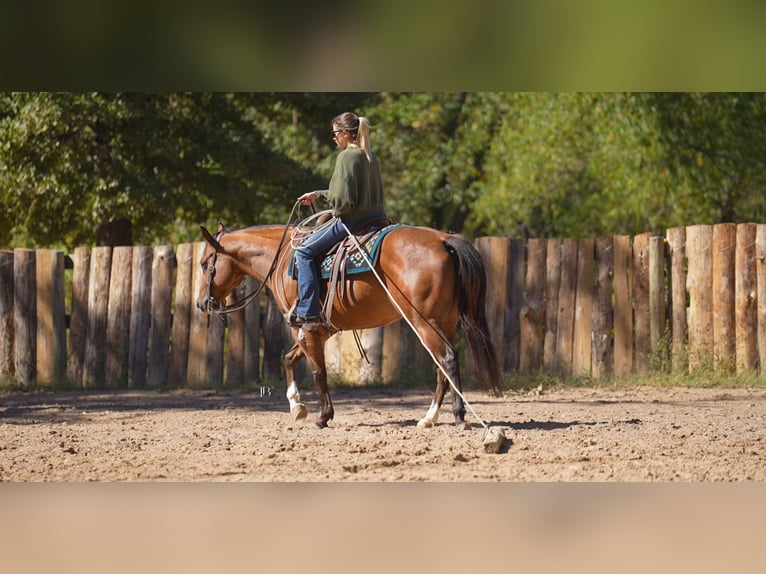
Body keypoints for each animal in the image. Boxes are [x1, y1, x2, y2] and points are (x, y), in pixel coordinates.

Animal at [195, 220, 502, 429]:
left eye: (205, 263)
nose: (200, 302)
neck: (283, 259)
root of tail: (444, 239)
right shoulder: (318, 330)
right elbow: (289, 360)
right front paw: (297, 406)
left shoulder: (305, 327)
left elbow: (318, 372)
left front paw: (322, 416)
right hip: (443, 322)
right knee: (442, 367)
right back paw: (429, 418)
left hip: (424, 322)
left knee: (447, 359)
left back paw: (457, 416)